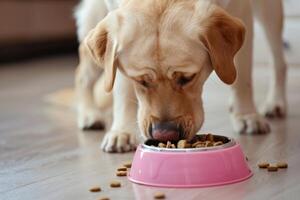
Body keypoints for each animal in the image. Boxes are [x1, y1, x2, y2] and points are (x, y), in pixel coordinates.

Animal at [74, 0, 288, 152]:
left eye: (187, 77)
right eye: (141, 81)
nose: (164, 134)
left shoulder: (241, 8)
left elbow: (242, 76)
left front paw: (246, 115)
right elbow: (121, 88)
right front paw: (122, 131)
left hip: (270, 11)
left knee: (278, 60)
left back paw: (276, 102)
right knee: (82, 73)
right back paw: (89, 114)